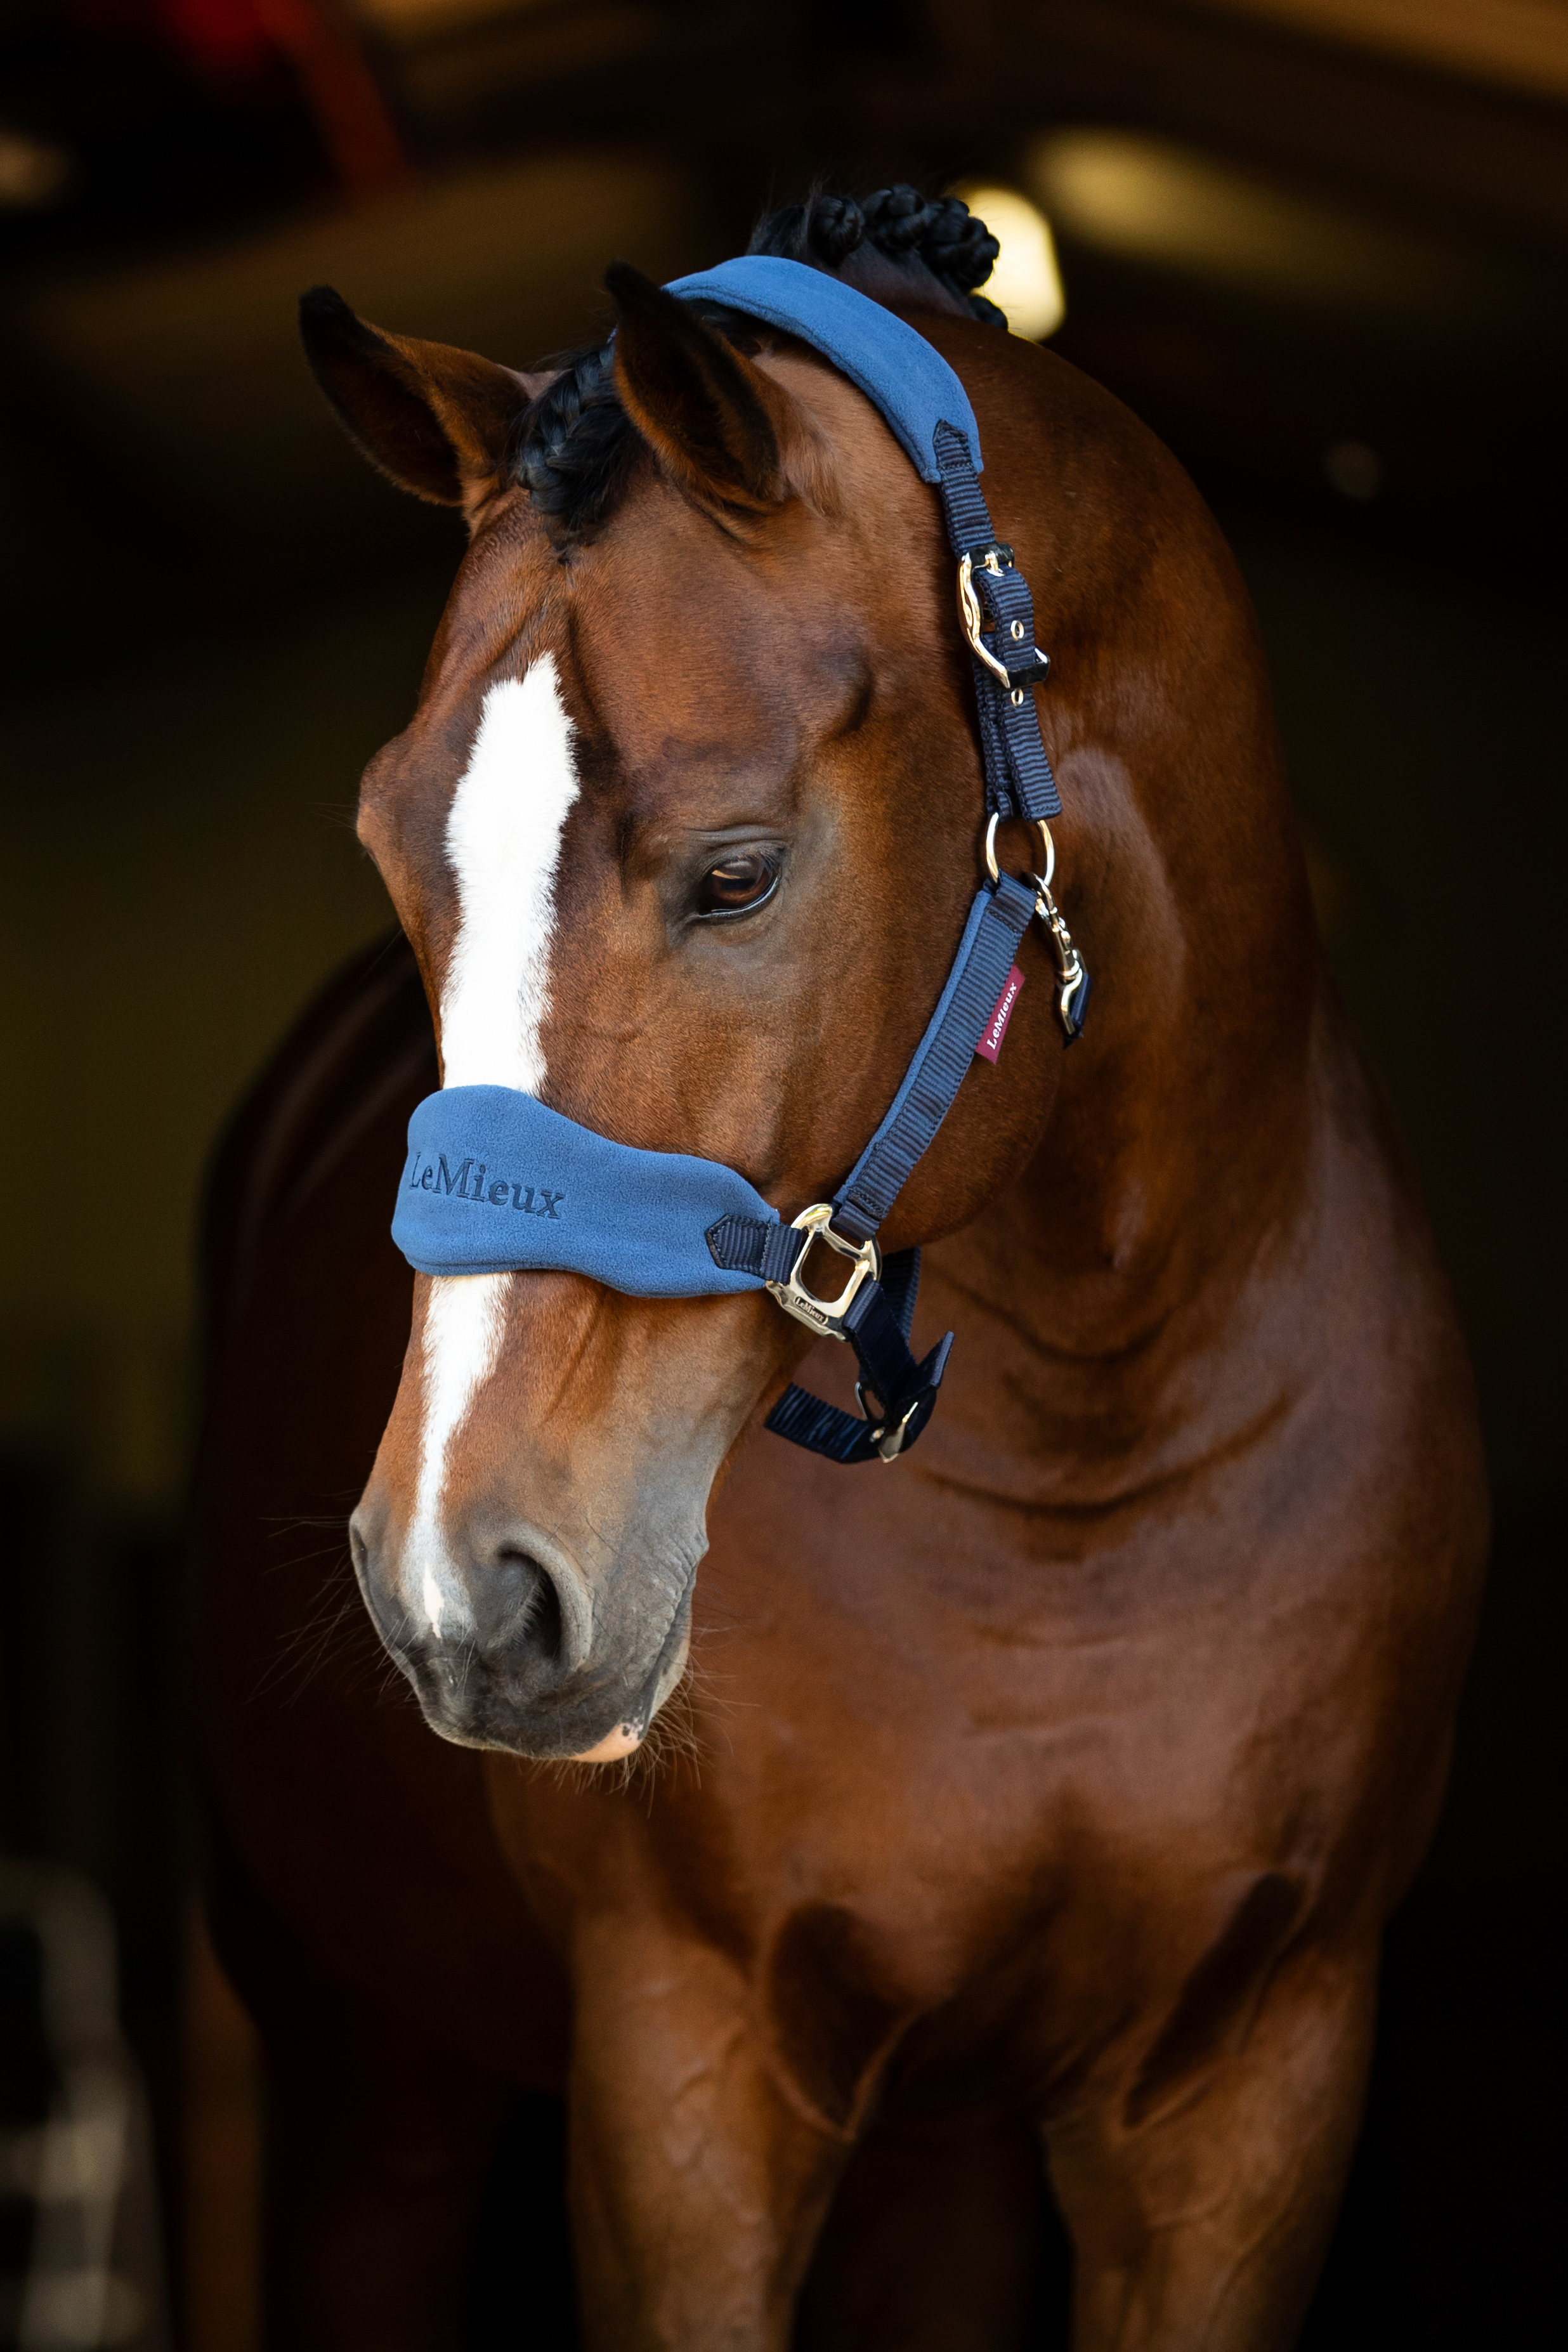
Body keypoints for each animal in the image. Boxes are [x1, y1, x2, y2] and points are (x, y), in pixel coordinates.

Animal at [188, 187, 1487, 2350]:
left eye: (735, 869)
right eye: (391, 856)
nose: (464, 1587)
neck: (1093, 1457)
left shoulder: (1250, 2093)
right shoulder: (688, 2077)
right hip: (363, 2086)